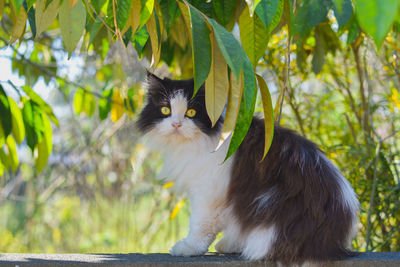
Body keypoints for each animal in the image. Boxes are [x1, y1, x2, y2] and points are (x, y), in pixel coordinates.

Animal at [138, 72, 360, 264]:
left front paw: (189, 248)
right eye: (166, 110)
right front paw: (230, 244)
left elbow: (200, 226)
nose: (176, 124)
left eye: (191, 113)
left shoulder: (210, 192)